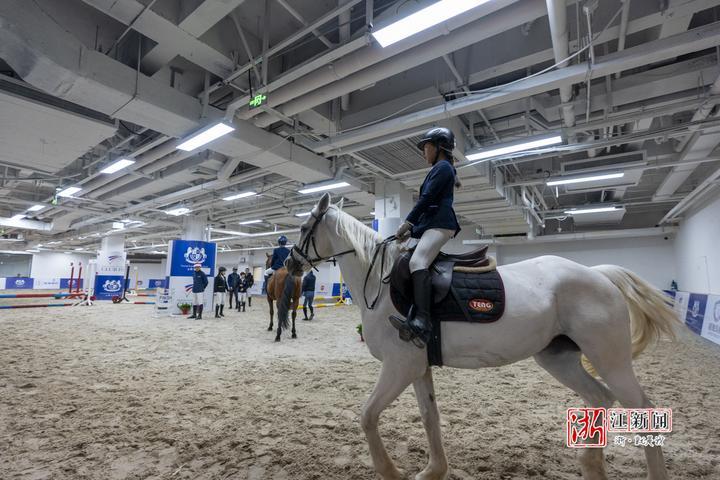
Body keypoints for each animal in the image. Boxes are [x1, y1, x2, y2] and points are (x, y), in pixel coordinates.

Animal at [286, 194, 680, 480]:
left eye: (305, 226)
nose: (289, 264)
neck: (380, 283)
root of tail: (597, 274)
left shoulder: (399, 366)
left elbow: (367, 416)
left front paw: (392, 472)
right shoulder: (417, 367)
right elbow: (430, 417)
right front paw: (433, 471)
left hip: (609, 358)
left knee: (642, 409)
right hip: (558, 358)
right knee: (600, 397)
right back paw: (590, 466)